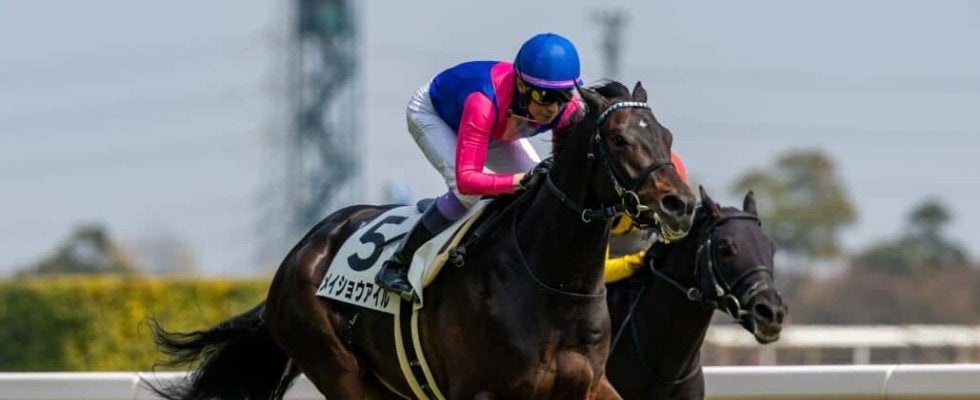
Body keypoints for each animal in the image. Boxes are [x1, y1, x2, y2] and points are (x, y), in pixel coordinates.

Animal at [148, 80, 696, 400]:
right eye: (620, 139)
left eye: (667, 137)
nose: (681, 204)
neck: (554, 282)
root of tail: (299, 253)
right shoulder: (481, 394)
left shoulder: (591, 387)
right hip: (338, 370)